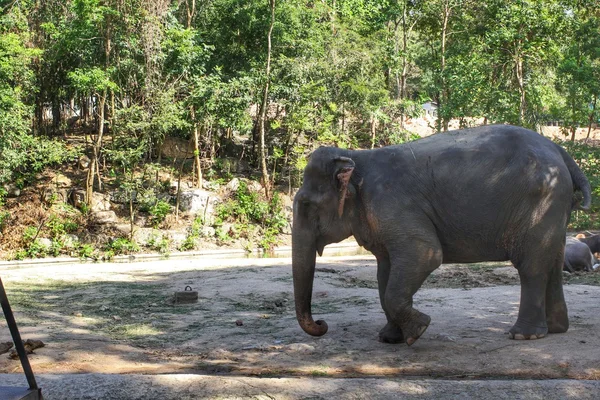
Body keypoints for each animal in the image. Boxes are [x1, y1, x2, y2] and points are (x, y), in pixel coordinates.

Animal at [290, 123, 592, 346]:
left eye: (305, 204)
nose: (322, 324)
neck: (357, 156)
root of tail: (560, 151)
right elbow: (384, 273)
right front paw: (389, 338)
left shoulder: (393, 204)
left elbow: (424, 255)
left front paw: (419, 331)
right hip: (554, 206)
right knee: (552, 261)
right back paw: (555, 329)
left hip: (541, 201)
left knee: (531, 266)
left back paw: (524, 335)